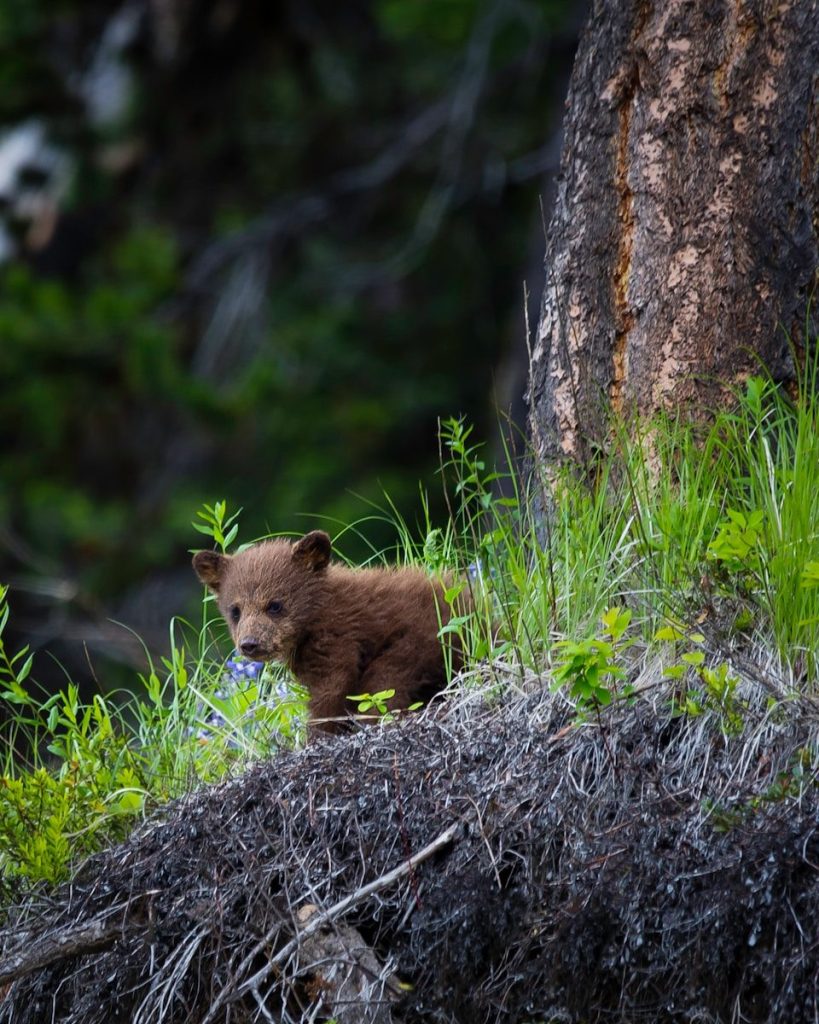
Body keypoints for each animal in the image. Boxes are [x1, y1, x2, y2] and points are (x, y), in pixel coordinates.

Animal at [192, 531, 462, 734]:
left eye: (275, 605)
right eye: (235, 610)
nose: (250, 643)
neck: (315, 614)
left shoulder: (336, 636)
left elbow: (332, 688)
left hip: (419, 643)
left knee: (384, 684)